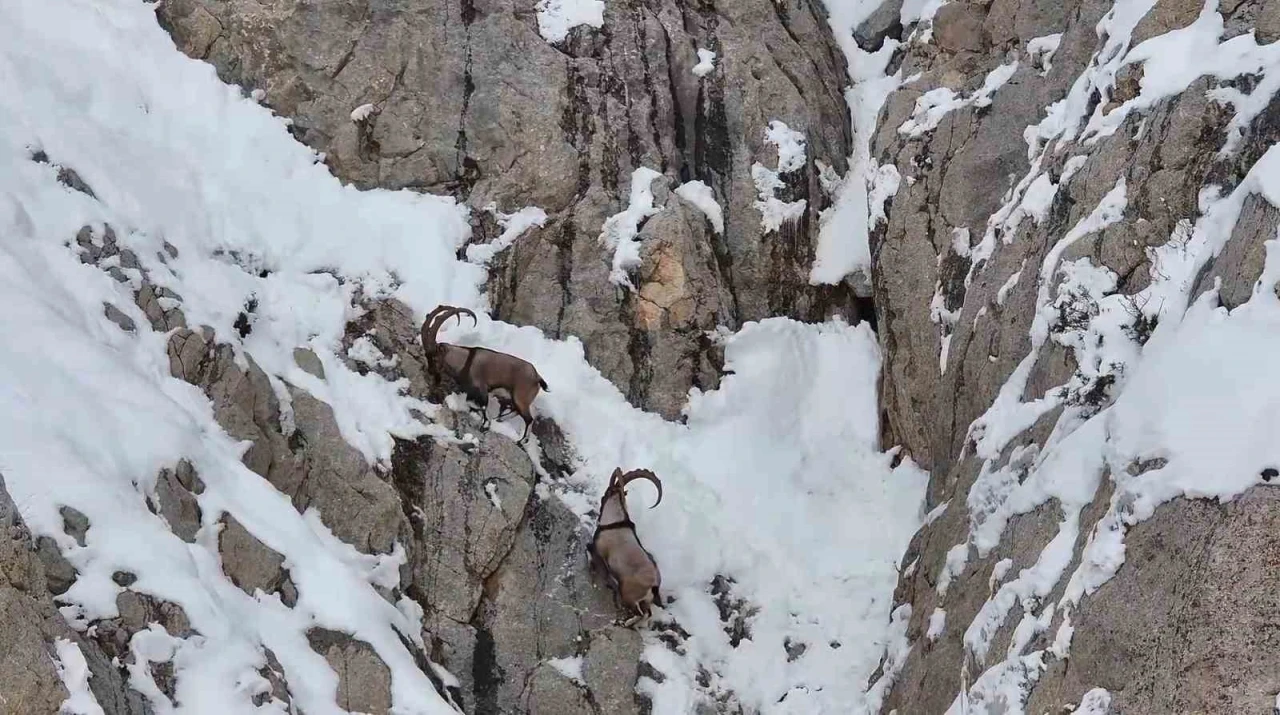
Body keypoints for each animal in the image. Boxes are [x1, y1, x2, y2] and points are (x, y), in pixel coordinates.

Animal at [419, 303, 550, 440]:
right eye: (426, 356)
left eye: (435, 357)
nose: (430, 371)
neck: (465, 361)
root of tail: (537, 377)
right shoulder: (471, 391)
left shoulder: (481, 388)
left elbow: (481, 406)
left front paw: (485, 424)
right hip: (517, 398)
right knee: (517, 411)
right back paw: (499, 419)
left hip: (520, 397)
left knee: (529, 418)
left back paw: (521, 440)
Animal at [591, 470, 665, 626]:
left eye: (606, 492)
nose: (602, 498)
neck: (614, 522)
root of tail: (654, 585)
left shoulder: (599, 550)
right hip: (645, 600)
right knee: (647, 613)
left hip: (628, 594)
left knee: (640, 613)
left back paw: (624, 623)